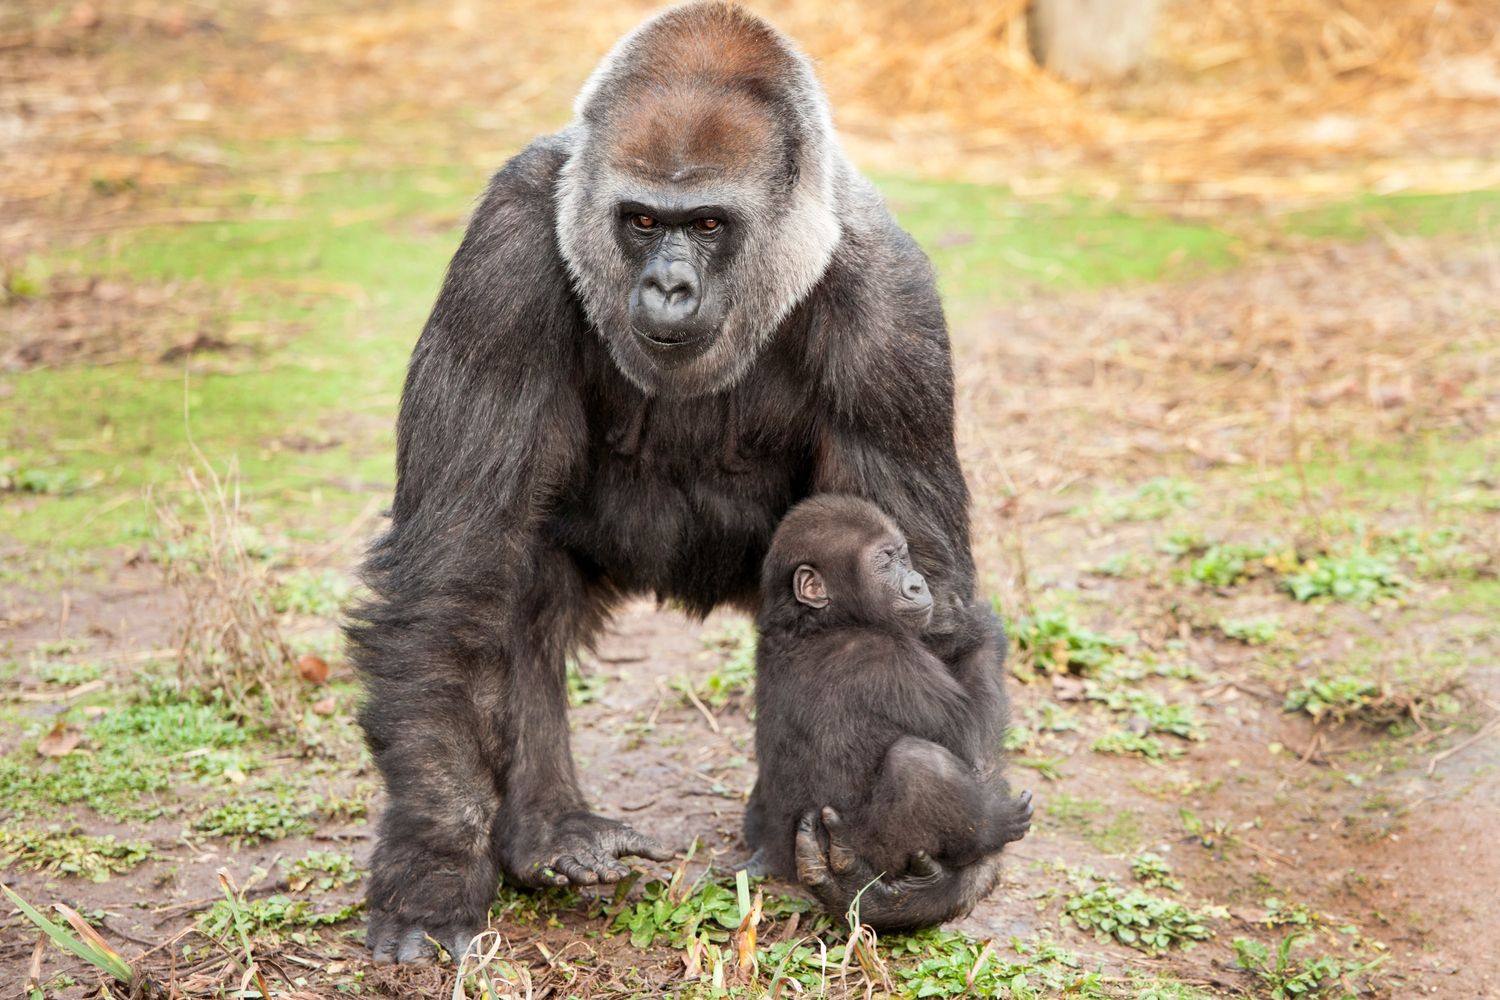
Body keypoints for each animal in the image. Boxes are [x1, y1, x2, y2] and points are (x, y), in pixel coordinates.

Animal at [742, 496, 1032, 917]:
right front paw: (976, 624)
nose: (917, 582)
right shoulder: (889, 657)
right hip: (875, 855)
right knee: (916, 762)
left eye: (903, 555)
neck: (814, 620)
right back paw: (990, 828)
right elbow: (967, 737)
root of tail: (785, 864)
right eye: (884, 560)